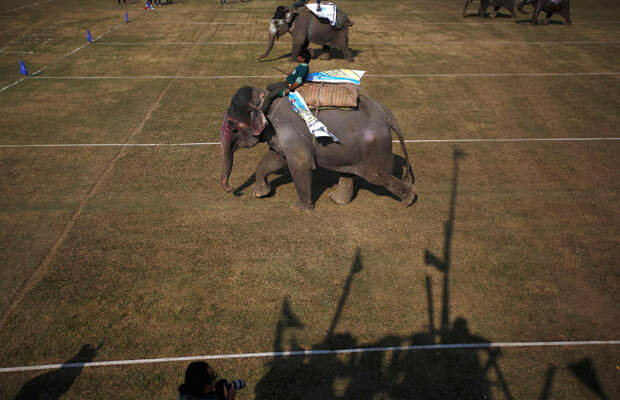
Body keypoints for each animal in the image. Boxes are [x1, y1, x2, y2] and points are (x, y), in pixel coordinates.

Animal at [219, 86, 416, 211]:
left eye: (231, 125)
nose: (231, 189)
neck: (264, 99)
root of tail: (387, 113)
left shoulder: (288, 130)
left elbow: (301, 163)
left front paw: (299, 209)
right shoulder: (279, 136)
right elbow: (274, 160)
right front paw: (260, 194)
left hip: (374, 145)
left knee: (377, 176)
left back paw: (409, 199)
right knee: (350, 172)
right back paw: (336, 200)